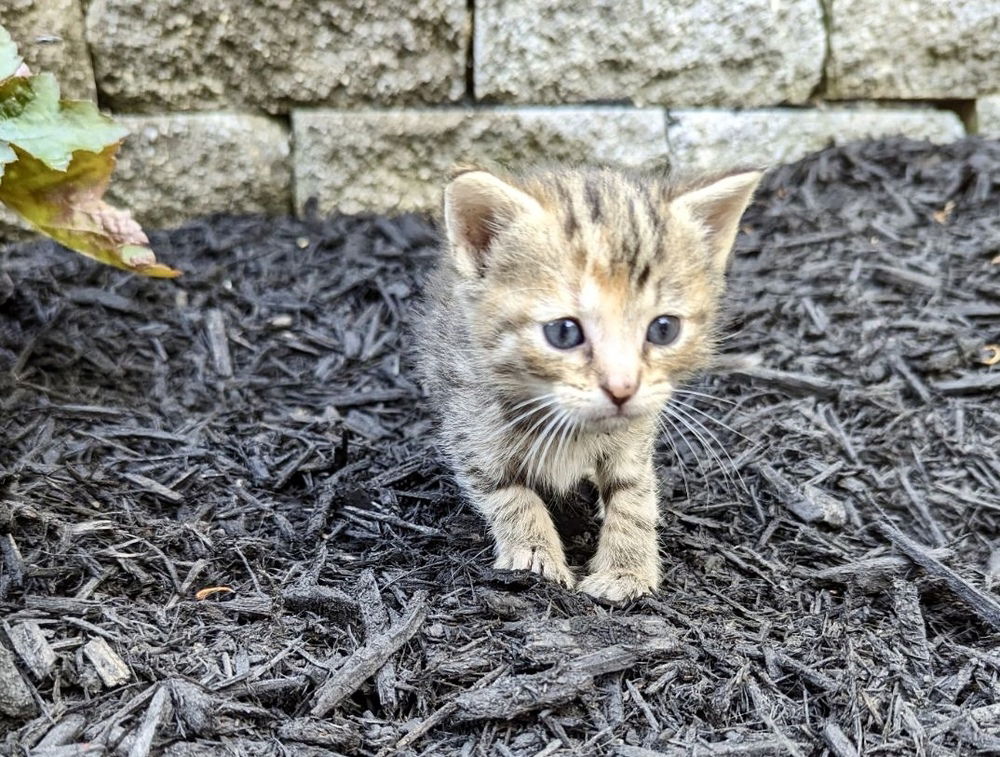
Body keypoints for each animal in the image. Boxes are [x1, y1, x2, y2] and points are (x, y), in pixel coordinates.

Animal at [414, 162, 756, 600]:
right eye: (564, 332)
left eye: (664, 329)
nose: (622, 388)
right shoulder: (473, 428)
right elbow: (508, 492)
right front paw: (534, 555)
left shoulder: (635, 434)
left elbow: (633, 494)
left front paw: (626, 569)